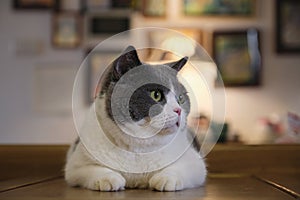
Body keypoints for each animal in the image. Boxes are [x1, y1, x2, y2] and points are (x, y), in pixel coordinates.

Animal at [64, 46, 206, 191]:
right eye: (156, 95)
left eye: (180, 98)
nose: (178, 110)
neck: (139, 148)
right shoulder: (75, 166)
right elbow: (94, 169)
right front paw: (109, 179)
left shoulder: (195, 162)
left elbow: (180, 168)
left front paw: (166, 179)